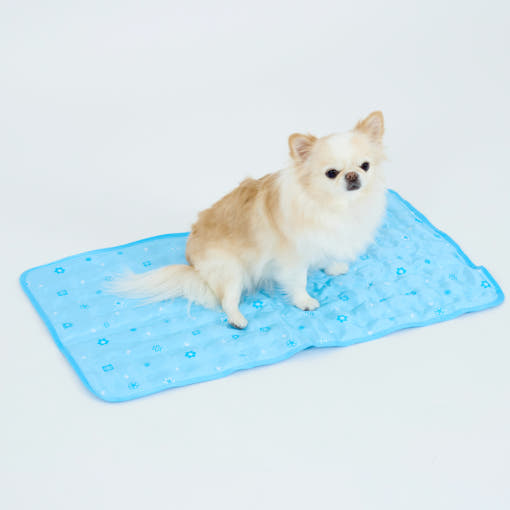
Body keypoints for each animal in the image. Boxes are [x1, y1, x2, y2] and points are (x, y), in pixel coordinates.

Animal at [111, 111, 387, 329]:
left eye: (365, 166)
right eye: (332, 173)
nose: (352, 175)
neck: (336, 205)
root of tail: (193, 264)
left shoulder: (326, 237)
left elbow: (328, 253)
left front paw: (334, 266)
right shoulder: (292, 259)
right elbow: (299, 281)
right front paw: (305, 302)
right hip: (233, 271)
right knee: (227, 300)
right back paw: (237, 319)